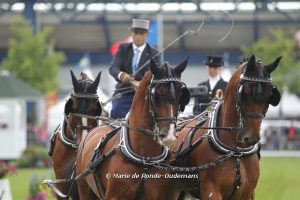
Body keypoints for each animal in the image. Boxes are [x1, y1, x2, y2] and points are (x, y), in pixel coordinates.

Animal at [76, 58, 191, 199]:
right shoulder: (113, 196)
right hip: (84, 190)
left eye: (181, 94)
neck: (144, 158)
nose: (168, 135)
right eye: (156, 94)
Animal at [172, 55, 282, 200]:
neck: (236, 151)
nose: (251, 137)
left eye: (270, 96)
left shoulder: (245, 193)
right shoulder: (211, 191)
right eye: (244, 93)